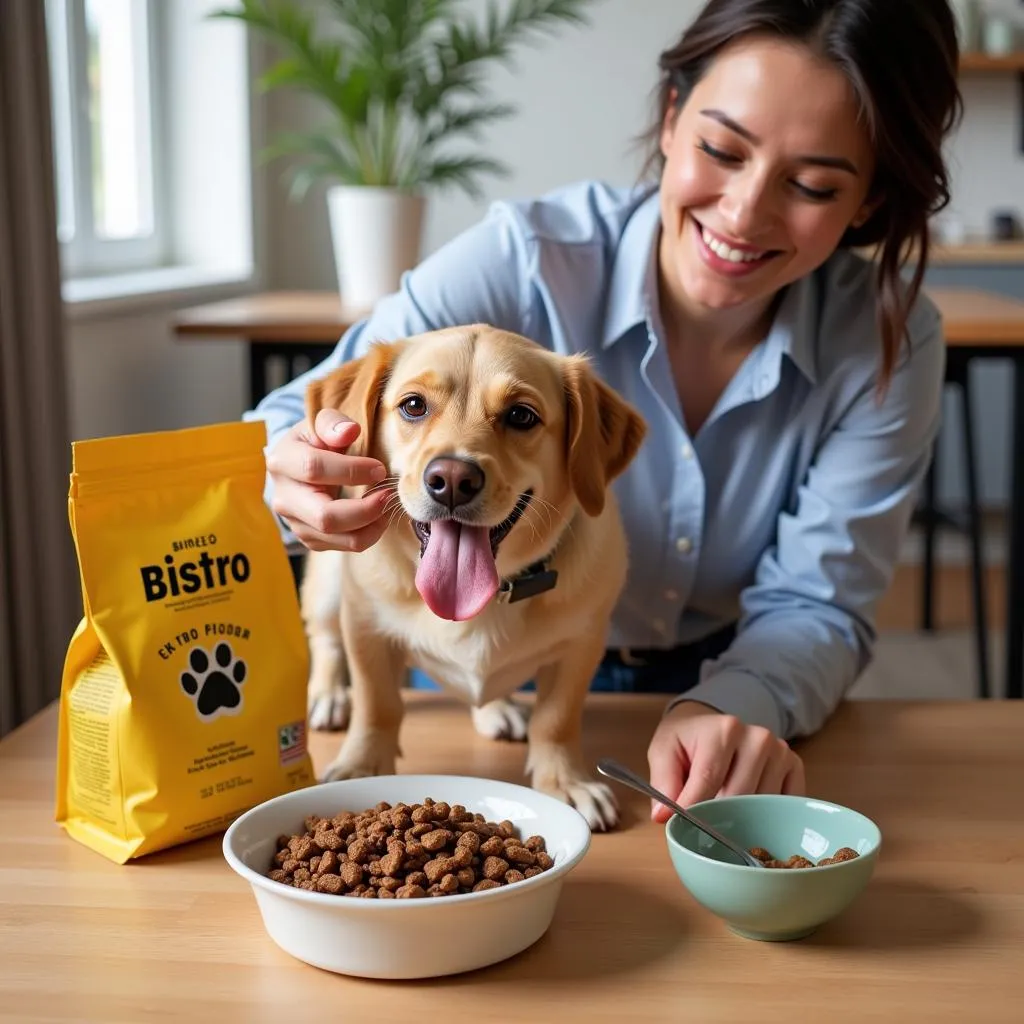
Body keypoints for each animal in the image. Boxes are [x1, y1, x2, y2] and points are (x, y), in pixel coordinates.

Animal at [299, 323, 643, 827]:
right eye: (414, 405)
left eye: (521, 415)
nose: (452, 480)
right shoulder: (366, 629)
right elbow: (377, 705)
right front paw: (362, 766)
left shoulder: (582, 644)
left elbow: (556, 719)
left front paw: (565, 781)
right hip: (328, 585)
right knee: (324, 641)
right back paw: (328, 696)